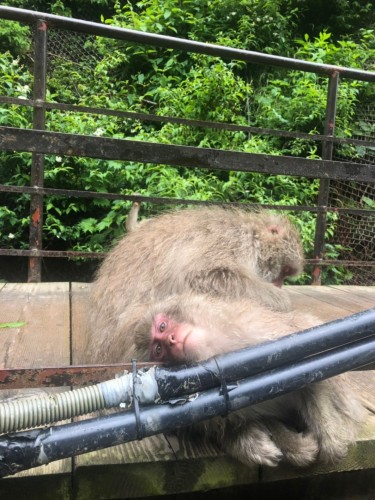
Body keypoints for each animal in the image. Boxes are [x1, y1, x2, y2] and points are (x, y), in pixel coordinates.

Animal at [88, 205, 306, 366]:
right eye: (285, 271)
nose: (279, 285)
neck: (252, 235)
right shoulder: (233, 241)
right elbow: (200, 275)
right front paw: (282, 301)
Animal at [133, 292, 368, 468]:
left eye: (163, 327)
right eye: (158, 349)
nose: (171, 341)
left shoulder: (266, 334)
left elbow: (315, 372)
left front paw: (332, 439)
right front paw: (248, 441)